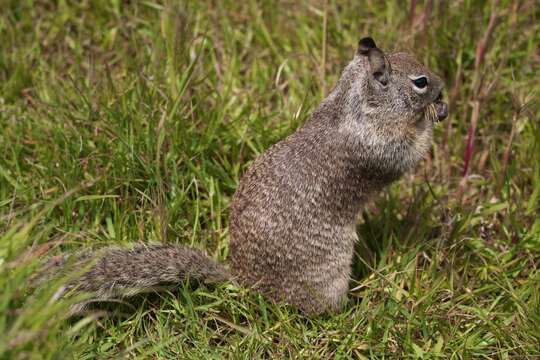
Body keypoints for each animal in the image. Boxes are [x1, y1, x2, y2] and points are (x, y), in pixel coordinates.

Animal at [46, 38, 448, 316]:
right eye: (420, 81)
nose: (443, 85)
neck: (350, 104)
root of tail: (246, 284)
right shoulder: (377, 148)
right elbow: (408, 153)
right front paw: (431, 119)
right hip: (327, 279)